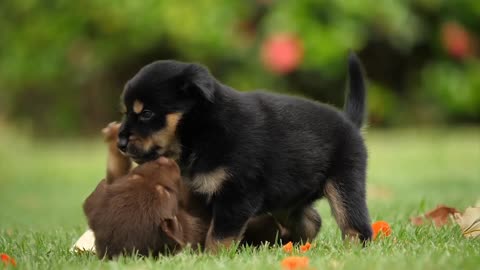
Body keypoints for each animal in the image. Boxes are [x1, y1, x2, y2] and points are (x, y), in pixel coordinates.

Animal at [84, 123, 284, 258]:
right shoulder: (195, 223)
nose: (164, 160)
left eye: (135, 177)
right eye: (165, 191)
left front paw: (113, 139)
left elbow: (114, 175)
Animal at [118, 53, 374, 251]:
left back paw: (354, 251)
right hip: (286, 201)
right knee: (313, 221)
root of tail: (350, 122)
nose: (120, 141)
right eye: (126, 112)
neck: (203, 129)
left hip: (344, 184)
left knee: (356, 226)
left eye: (147, 114)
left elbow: (219, 236)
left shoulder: (237, 194)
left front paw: (212, 258)